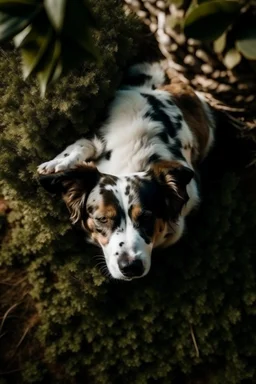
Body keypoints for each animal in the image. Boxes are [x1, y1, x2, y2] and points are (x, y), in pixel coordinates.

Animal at [38, 61, 215, 280]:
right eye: (102, 219)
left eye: (147, 217)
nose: (130, 267)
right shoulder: (95, 140)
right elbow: (82, 145)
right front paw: (58, 163)